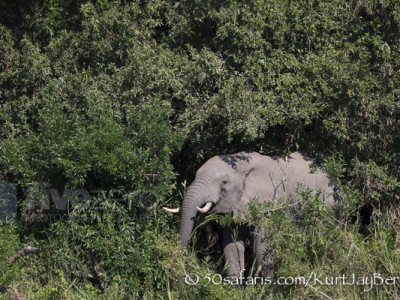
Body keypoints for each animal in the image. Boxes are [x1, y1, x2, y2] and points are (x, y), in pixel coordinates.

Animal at [162, 152, 334, 278]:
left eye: (224, 182)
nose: (173, 264)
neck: (244, 165)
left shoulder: (270, 204)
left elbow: (262, 245)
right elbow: (231, 246)